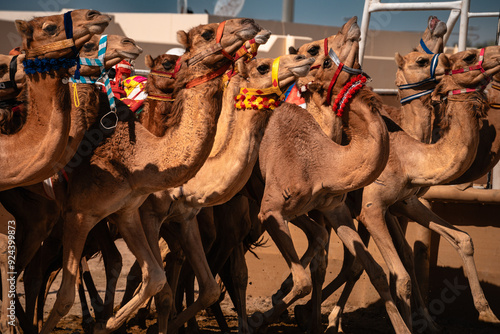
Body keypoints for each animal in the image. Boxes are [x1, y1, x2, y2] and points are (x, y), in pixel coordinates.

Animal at [36, 18, 258, 334]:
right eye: (205, 33)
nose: (249, 24)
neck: (140, 156)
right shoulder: (89, 213)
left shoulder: (149, 215)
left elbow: (171, 280)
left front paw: (112, 321)